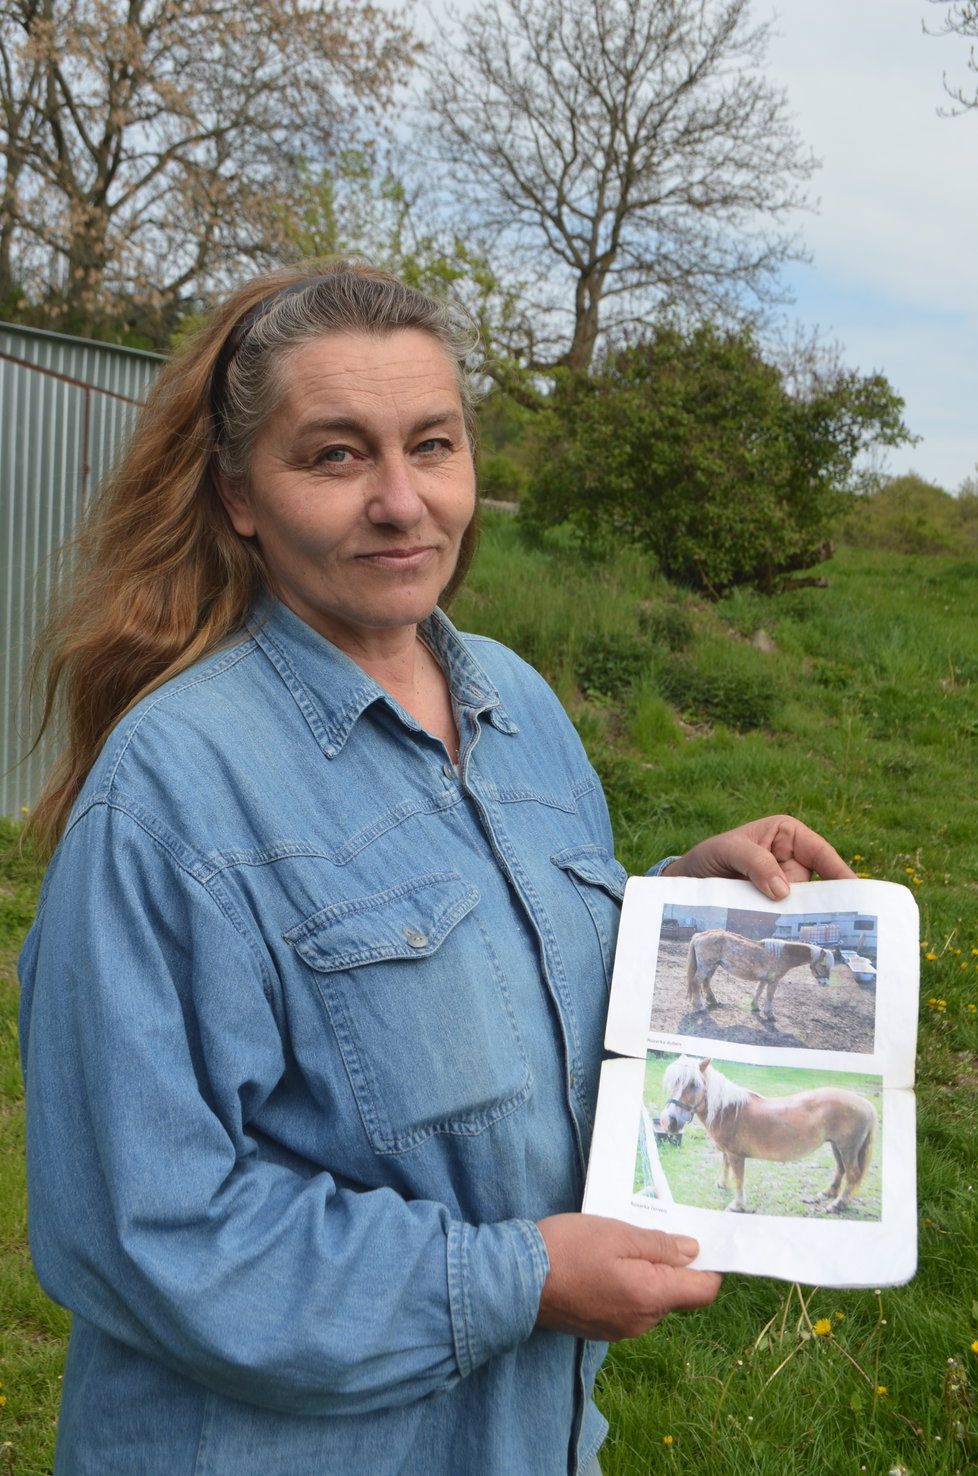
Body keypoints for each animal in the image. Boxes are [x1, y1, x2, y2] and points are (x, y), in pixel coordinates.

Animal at [657, 1056, 879, 1216]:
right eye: (673, 1084)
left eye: (693, 1085)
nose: (670, 1121)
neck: (729, 1111)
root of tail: (866, 1104)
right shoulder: (727, 1152)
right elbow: (724, 1164)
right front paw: (722, 1184)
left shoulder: (737, 1155)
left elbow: (739, 1179)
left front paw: (737, 1205)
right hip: (836, 1146)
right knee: (840, 1169)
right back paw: (828, 1193)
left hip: (847, 1149)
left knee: (852, 1174)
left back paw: (837, 1204)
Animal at [687, 926, 831, 1021]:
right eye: (823, 965)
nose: (825, 983)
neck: (782, 955)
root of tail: (701, 934)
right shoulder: (773, 981)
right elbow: (769, 996)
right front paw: (769, 1014)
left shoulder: (764, 979)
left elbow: (759, 991)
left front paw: (755, 1007)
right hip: (706, 966)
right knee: (696, 982)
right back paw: (699, 1007)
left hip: (712, 966)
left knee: (706, 982)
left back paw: (713, 1002)